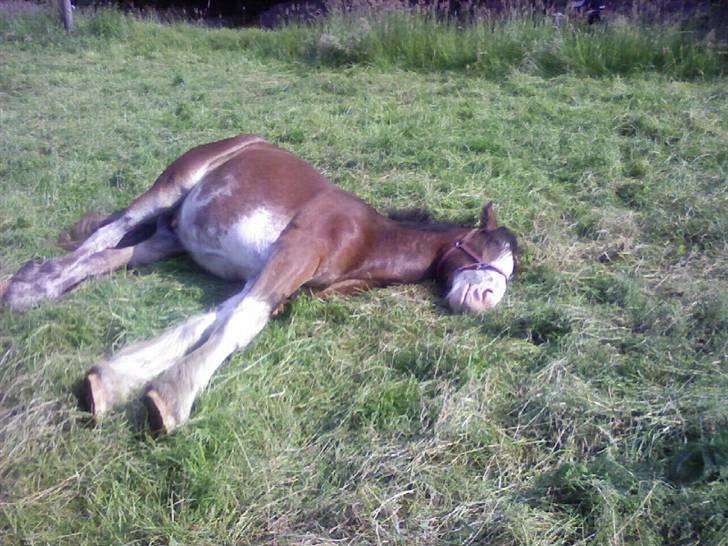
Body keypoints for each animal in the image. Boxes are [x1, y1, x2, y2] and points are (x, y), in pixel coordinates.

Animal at [1, 134, 516, 432]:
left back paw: (37, 282)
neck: (364, 237)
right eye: (489, 248)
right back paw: (28, 289)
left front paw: (115, 380)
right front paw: (173, 398)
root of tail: (244, 139)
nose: (484, 299)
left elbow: (208, 323)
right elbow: (238, 326)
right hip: (170, 187)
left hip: (170, 238)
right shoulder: (292, 256)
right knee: (108, 233)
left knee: (114, 255)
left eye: (511, 270)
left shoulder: (270, 280)